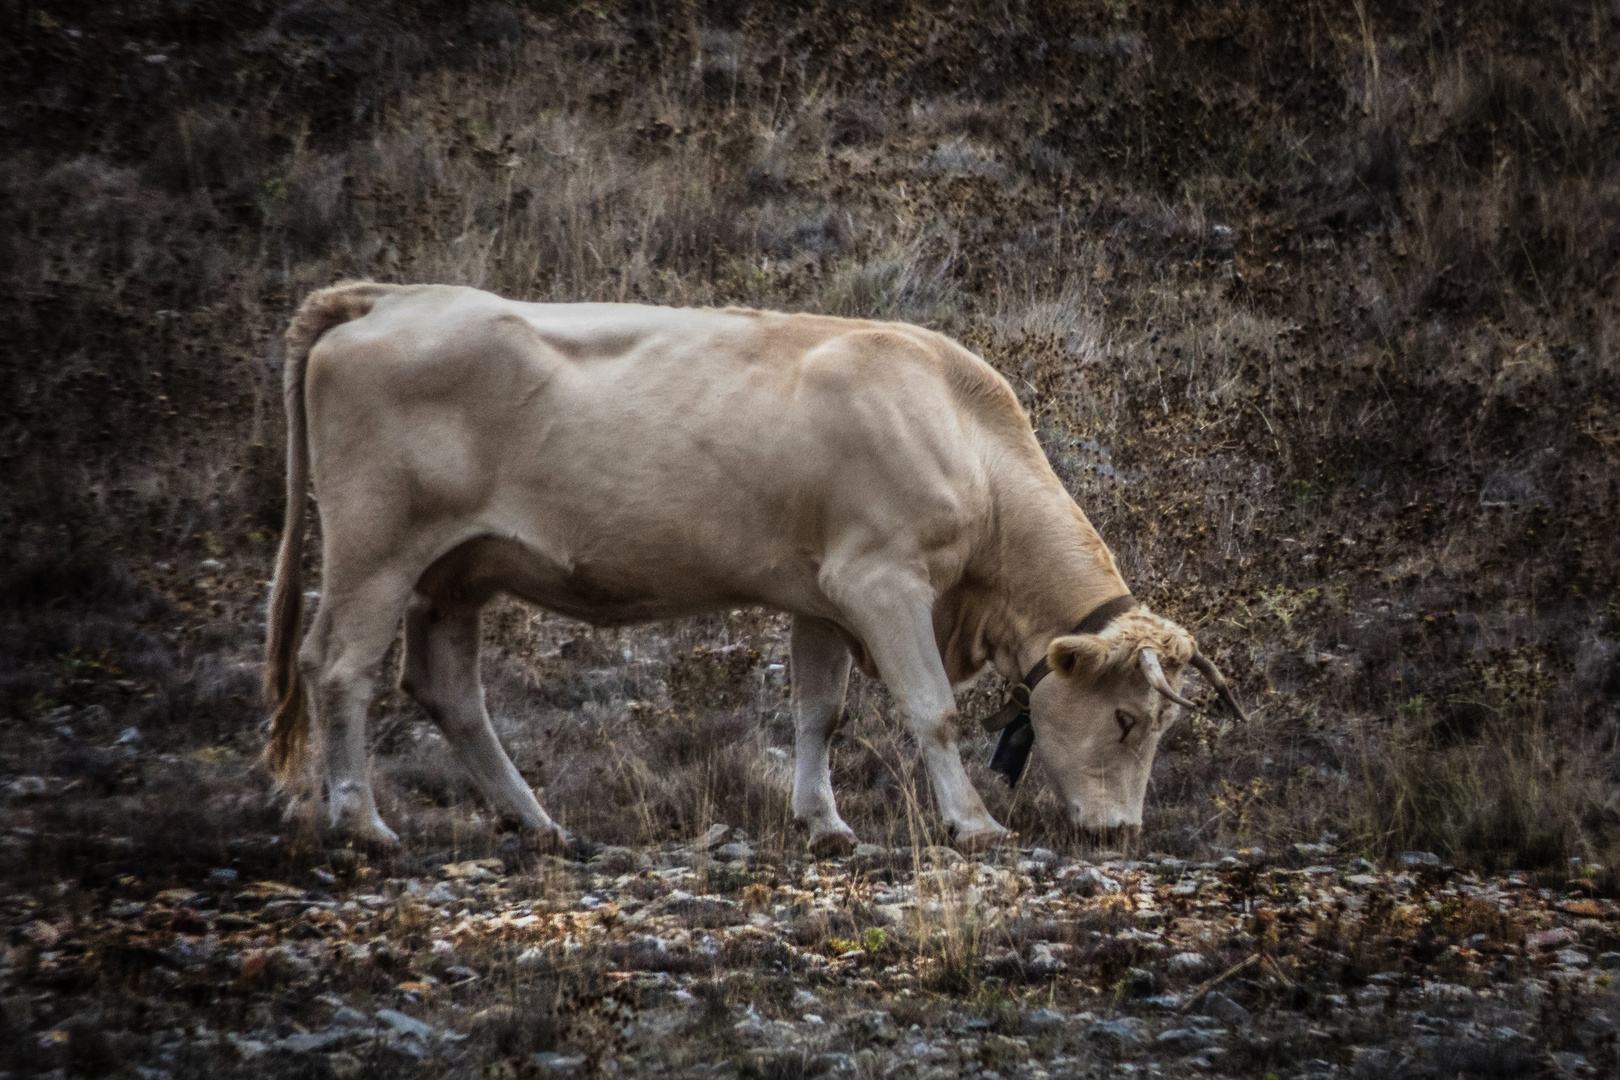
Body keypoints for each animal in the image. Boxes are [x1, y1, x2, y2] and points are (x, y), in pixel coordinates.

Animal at [265, 281, 1244, 854]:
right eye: (1127, 721)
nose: (1123, 831)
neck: (959, 428)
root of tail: (392, 296)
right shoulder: (882, 582)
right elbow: (930, 710)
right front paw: (972, 821)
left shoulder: (822, 597)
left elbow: (820, 713)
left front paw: (825, 823)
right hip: (376, 547)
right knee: (339, 666)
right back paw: (363, 822)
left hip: (454, 575)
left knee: (448, 692)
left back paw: (536, 823)